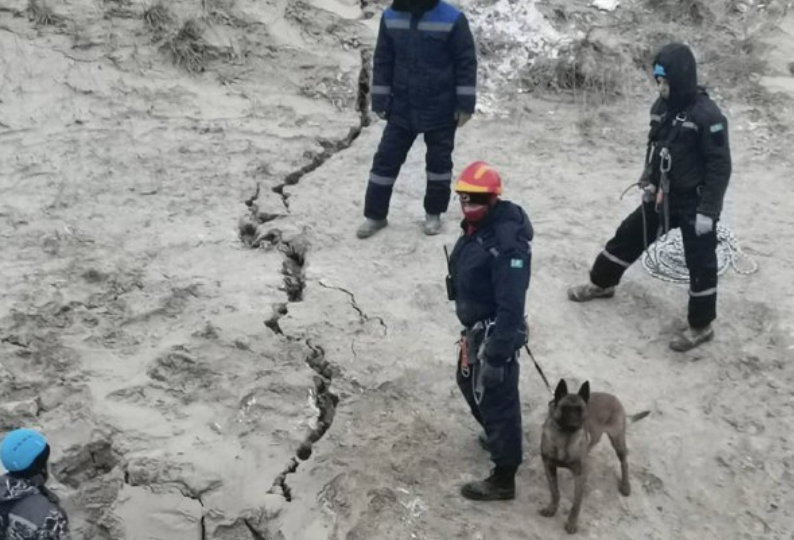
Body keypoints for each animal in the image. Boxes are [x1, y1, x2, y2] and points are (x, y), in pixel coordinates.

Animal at [536, 378, 648, 532]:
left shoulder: (581, 474)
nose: (575, 422)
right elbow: (555, 492)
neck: (565, 437)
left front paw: (572, 523)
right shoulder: (549, 467)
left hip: (618, 441)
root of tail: (614, 398)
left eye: (581, 410)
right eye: (565, 408)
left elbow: (576, 503)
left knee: (624, 462)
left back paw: (625, 485)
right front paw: (552, 508)